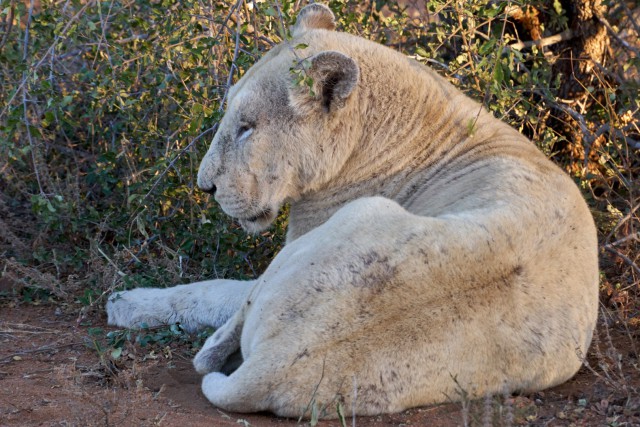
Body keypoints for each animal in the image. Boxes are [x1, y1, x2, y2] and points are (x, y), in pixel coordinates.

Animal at [106, 2, 600, 418]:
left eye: (246, 128)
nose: (204, 187)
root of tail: (272, 365)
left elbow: (213, 290)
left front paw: (127, 302)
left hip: (358, 215)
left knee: (213, 345)